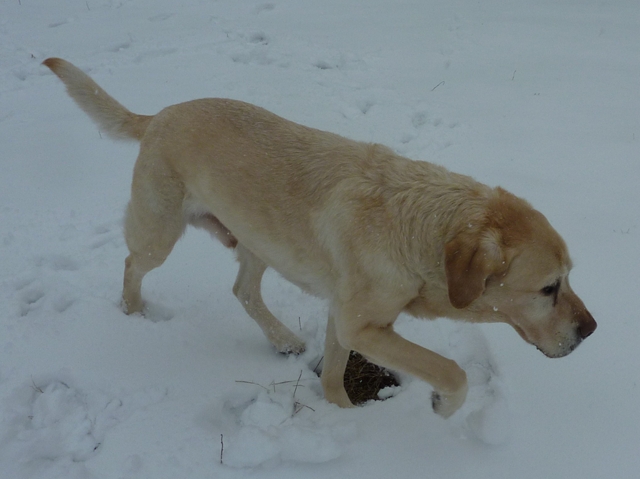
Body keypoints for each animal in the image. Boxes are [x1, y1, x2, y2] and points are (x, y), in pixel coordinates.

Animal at [43, 58, 596, 418]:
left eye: (570, 278)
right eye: (549, 288)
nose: (591, 331)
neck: (420, 230)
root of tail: (159, 114)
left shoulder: (345, 315)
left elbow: (332, 372)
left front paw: (341, 413)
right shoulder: (363, 326)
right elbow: (450, 370)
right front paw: (442, 405)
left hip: (258, 240)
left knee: (243, 290)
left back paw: (283, 338)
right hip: (159, 231)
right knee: (132, 265)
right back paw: (134, 312)